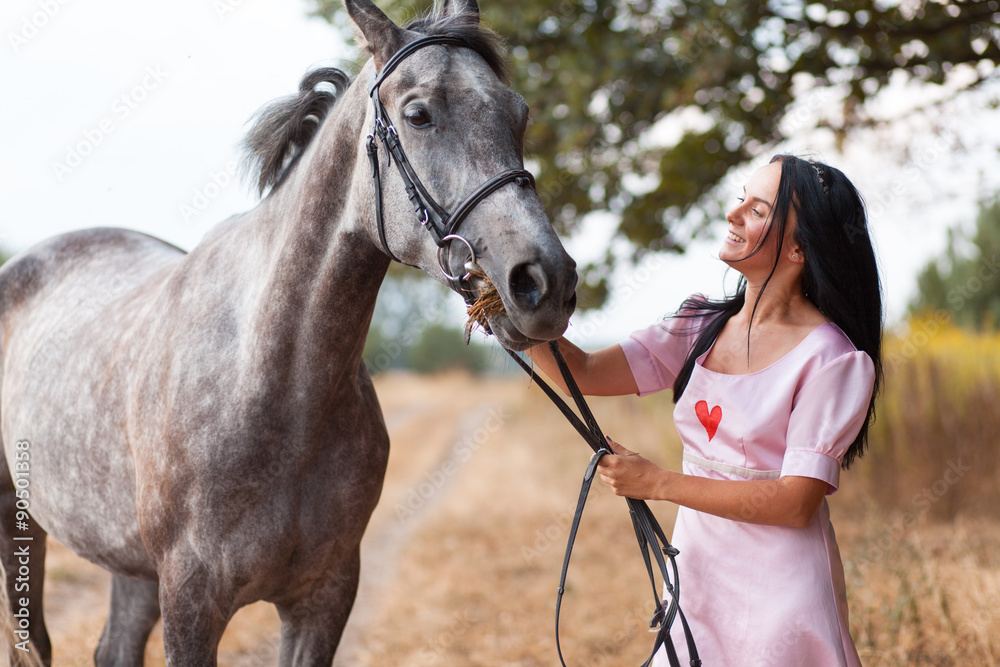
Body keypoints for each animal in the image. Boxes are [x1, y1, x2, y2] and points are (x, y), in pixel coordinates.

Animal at [0, 0, 577, 663]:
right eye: (418, 114)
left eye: (519, 113)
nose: (545, 282)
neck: (272, 385)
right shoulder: (192, 607)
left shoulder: (322, 600)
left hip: (133, 566)